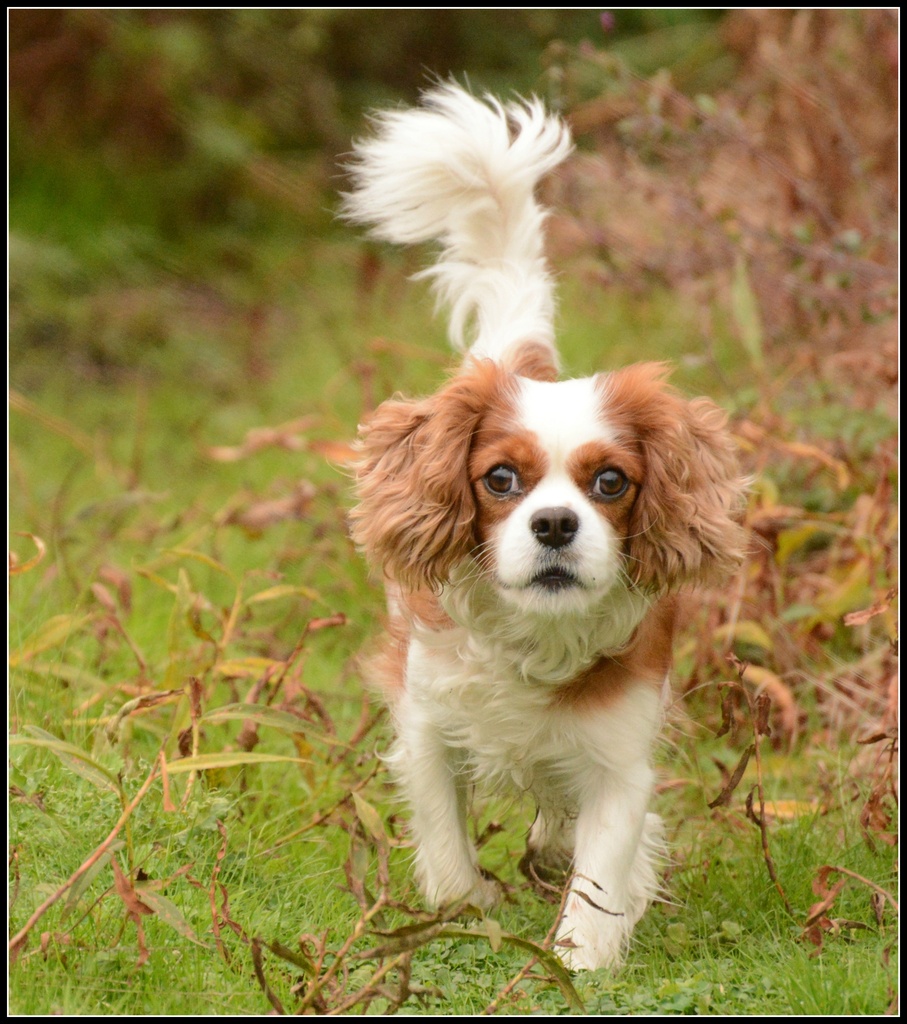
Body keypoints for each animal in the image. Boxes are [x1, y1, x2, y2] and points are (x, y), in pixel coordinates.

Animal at [339, 86, 745, 966]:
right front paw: (464, 912)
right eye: (500, 480)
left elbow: (597, 871)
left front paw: (578, 961)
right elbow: (444, 841)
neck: (534, 640)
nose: (556, 524)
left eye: (609, 482)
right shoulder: (425, 722)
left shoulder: (621, 757)